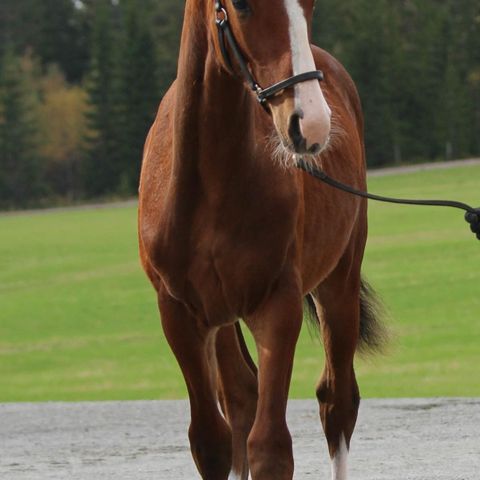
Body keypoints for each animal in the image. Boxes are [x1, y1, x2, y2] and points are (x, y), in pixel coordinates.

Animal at [138, 0, 382, 480]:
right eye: (242, 5)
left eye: (310, 6)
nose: (311, 123)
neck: (209, 184)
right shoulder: (179, 312)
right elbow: (212, 441)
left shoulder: (277, 303)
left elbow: (270, 446)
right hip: (222, 318)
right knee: (241, 399)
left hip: (339, 281)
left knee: (337, 401)